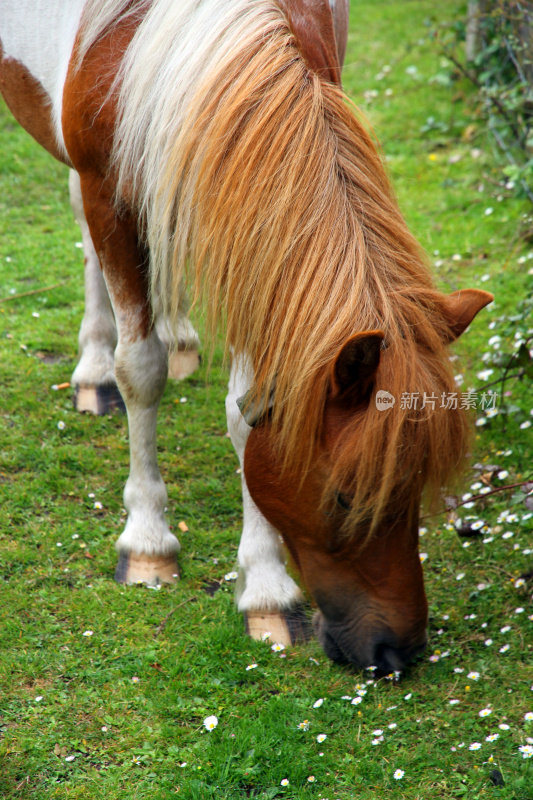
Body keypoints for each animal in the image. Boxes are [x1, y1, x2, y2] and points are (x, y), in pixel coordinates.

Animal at [0, 1, 490, 676]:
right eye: (345, 498)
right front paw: (147, 542)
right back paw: (94, 368)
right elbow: (141, 370)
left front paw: (264, 588)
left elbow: (245, 412)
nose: (398, 651)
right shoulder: (108, 193)